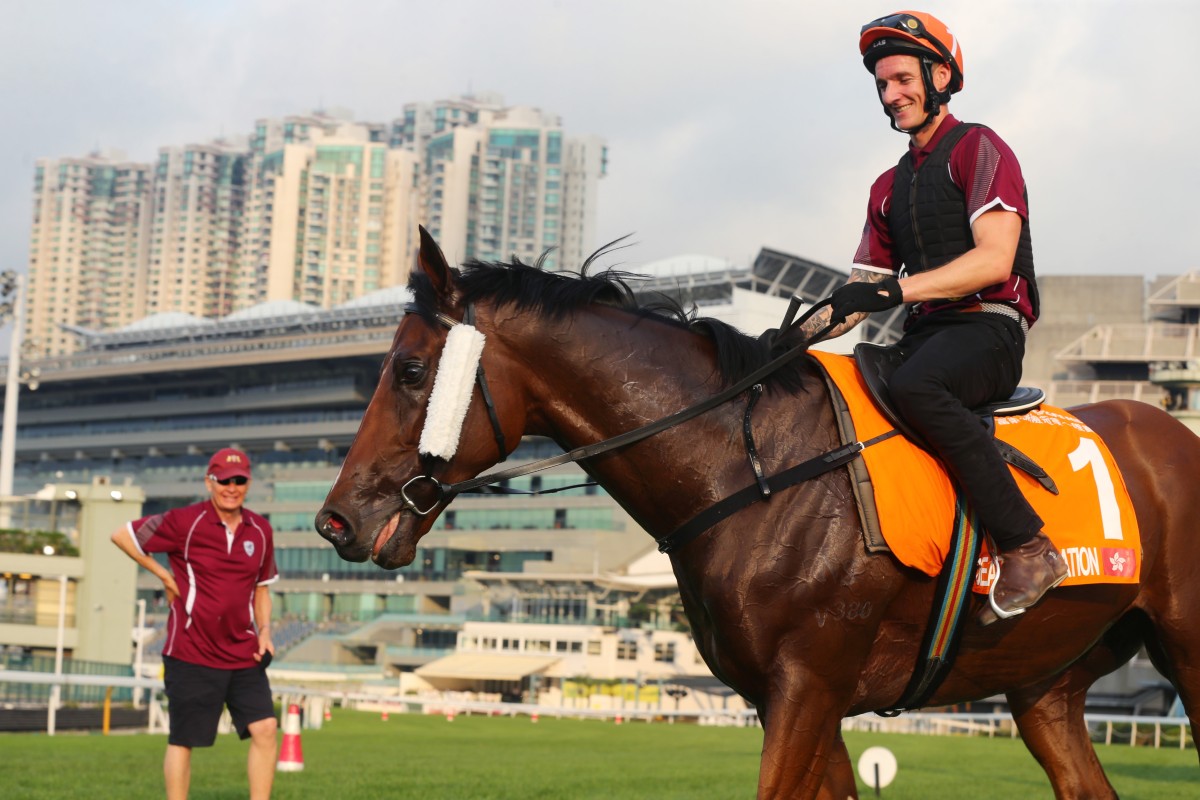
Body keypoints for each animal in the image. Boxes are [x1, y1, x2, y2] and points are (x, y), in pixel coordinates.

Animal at [319, 227, 1200, 796]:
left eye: (408, 370)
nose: (337, 520)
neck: (752, 469)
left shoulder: (806, 685)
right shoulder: (798, 696)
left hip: (1184, 654)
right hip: (1046, 685)